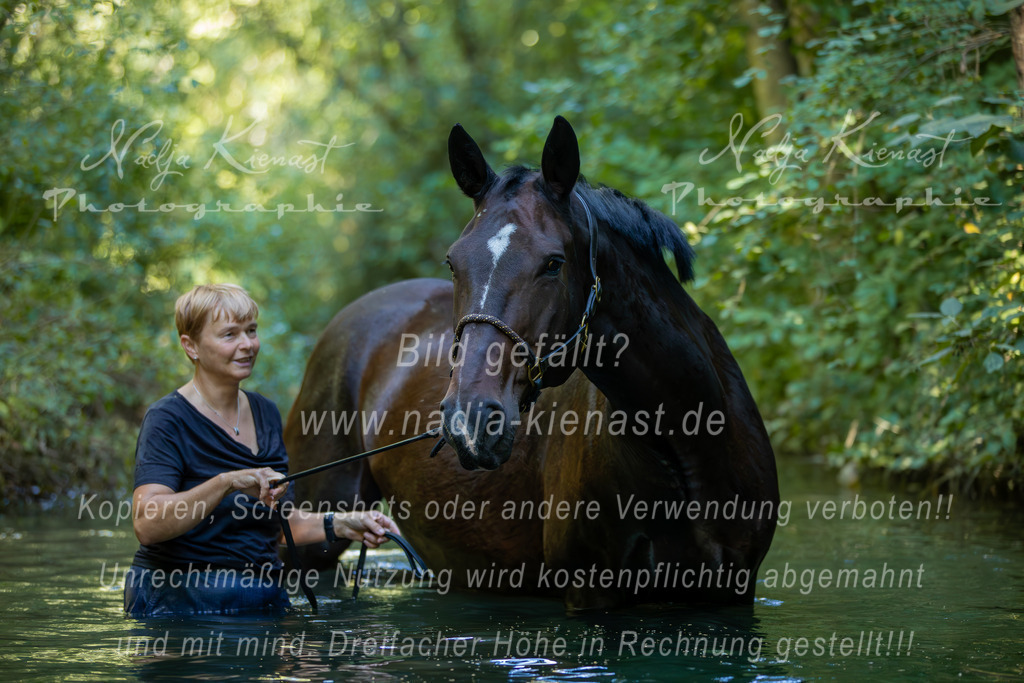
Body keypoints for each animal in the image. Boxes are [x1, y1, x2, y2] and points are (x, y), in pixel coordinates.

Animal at [283, 116, 779, 610]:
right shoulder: (590, 592)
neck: (686, 444)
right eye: (452, 262)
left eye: (554, 263)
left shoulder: (733, 593)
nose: (470, 421)